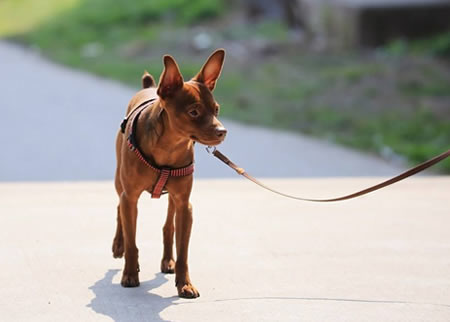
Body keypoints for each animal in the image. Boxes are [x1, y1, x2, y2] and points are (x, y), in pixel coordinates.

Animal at [111, 49, 227, 298]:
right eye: (194, 112)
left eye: (216, 110)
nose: (222, 131)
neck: (170, 146)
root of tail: (150, 86)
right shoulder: (131, 198)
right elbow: (133, 243)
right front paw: (130, 274)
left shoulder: (185, 205)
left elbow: (183, 252)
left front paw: (185, 283)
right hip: (120, 184)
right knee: (119, 208)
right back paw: (118, 245)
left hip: (174, 197)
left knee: (168, 226)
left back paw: (167, 261)